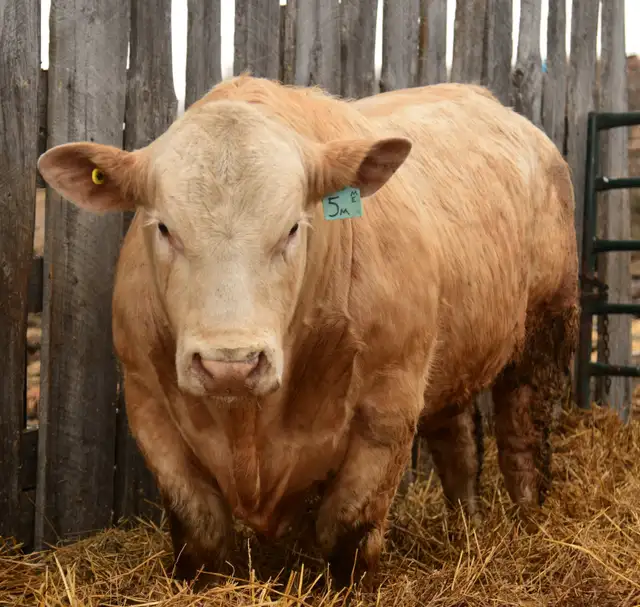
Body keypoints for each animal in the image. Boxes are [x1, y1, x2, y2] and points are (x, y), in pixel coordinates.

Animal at [37, 74, 579, 587]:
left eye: (294, 228)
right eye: (164, 228)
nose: (229, 366)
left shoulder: (388, 407)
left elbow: (349, 530)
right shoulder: (148, 406)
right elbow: (200, 532)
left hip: (546, 327)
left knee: (522, 433)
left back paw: (527, 524)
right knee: (459, 443)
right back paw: (466, 527)